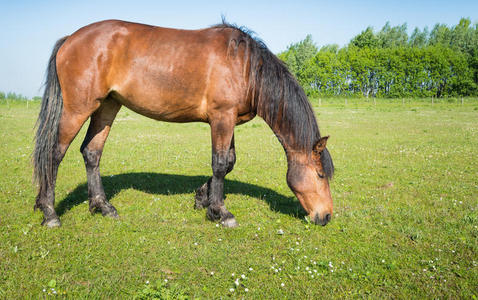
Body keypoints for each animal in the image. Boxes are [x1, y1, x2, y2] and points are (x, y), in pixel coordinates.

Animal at [33, 19, 334, 227]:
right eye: (320, 175)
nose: (327, 216)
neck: (245, 66)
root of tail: (70, 39)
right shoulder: (221, 118)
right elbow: (220, 164)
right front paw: (220, 212)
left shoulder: (229, 120)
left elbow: (229, 162)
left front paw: (202, 198)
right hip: (77, 109)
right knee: (54, 154)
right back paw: (50, 213)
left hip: (107, 106)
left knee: (91, 153)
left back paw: (103, 207)